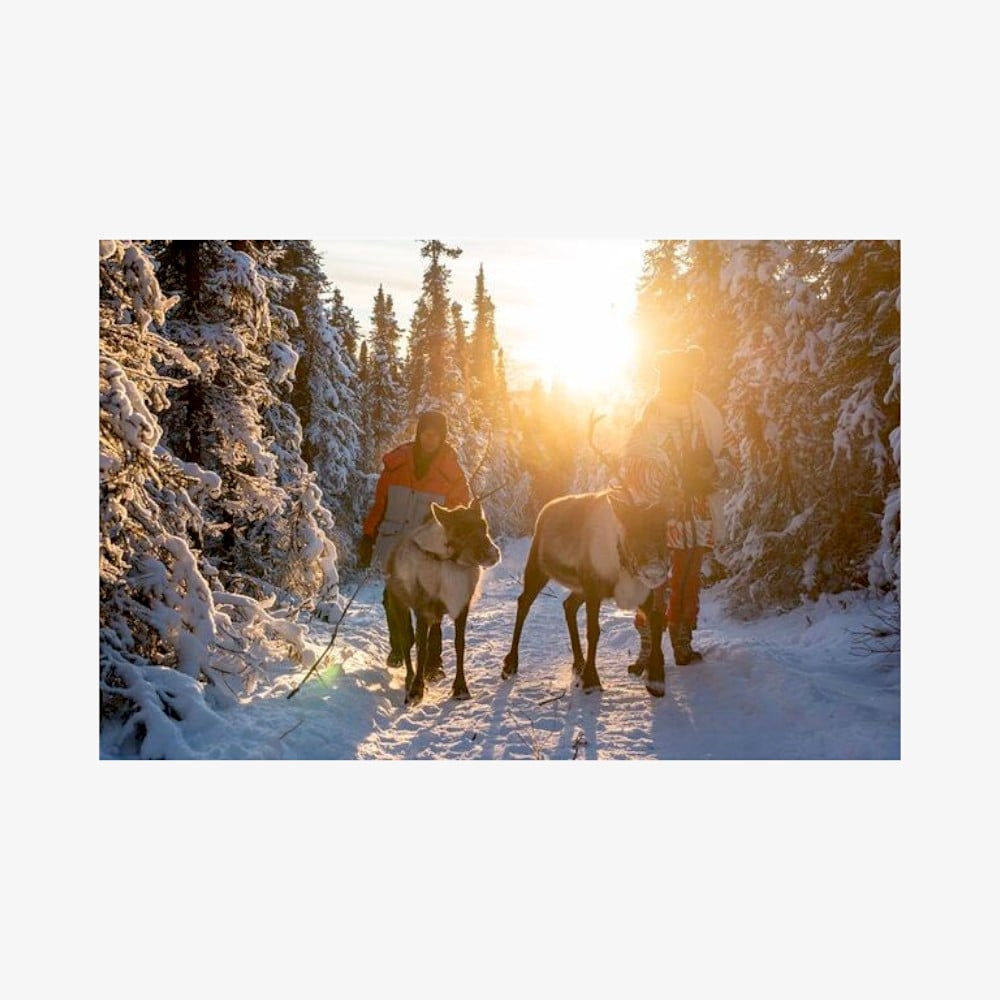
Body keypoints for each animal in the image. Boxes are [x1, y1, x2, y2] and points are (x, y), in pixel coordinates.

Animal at [500, 415, 675, 697]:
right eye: (631, 529)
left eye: (663, 530)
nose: (656, 570)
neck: (621, 561)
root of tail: (544, 511)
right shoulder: (594, 588)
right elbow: (594, 631)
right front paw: (592, 679)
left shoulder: (641, 592)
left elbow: (657, 620)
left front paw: (656, 677)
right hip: (538, 568)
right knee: (523, 602)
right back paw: (510, 663)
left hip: (577, 585)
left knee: (568, 606)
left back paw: (578, 662)